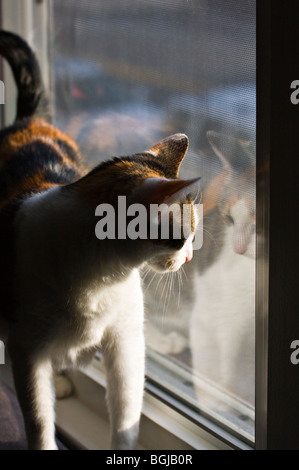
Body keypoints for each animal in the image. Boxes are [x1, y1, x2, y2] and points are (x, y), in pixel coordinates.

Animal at [0, 31, 202, 450]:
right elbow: (38, 421)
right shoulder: (27, 351)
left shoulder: (126, 343)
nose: (190, 259)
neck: (102, 277)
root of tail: (28, 121)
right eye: (183, 238)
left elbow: (126, 416)